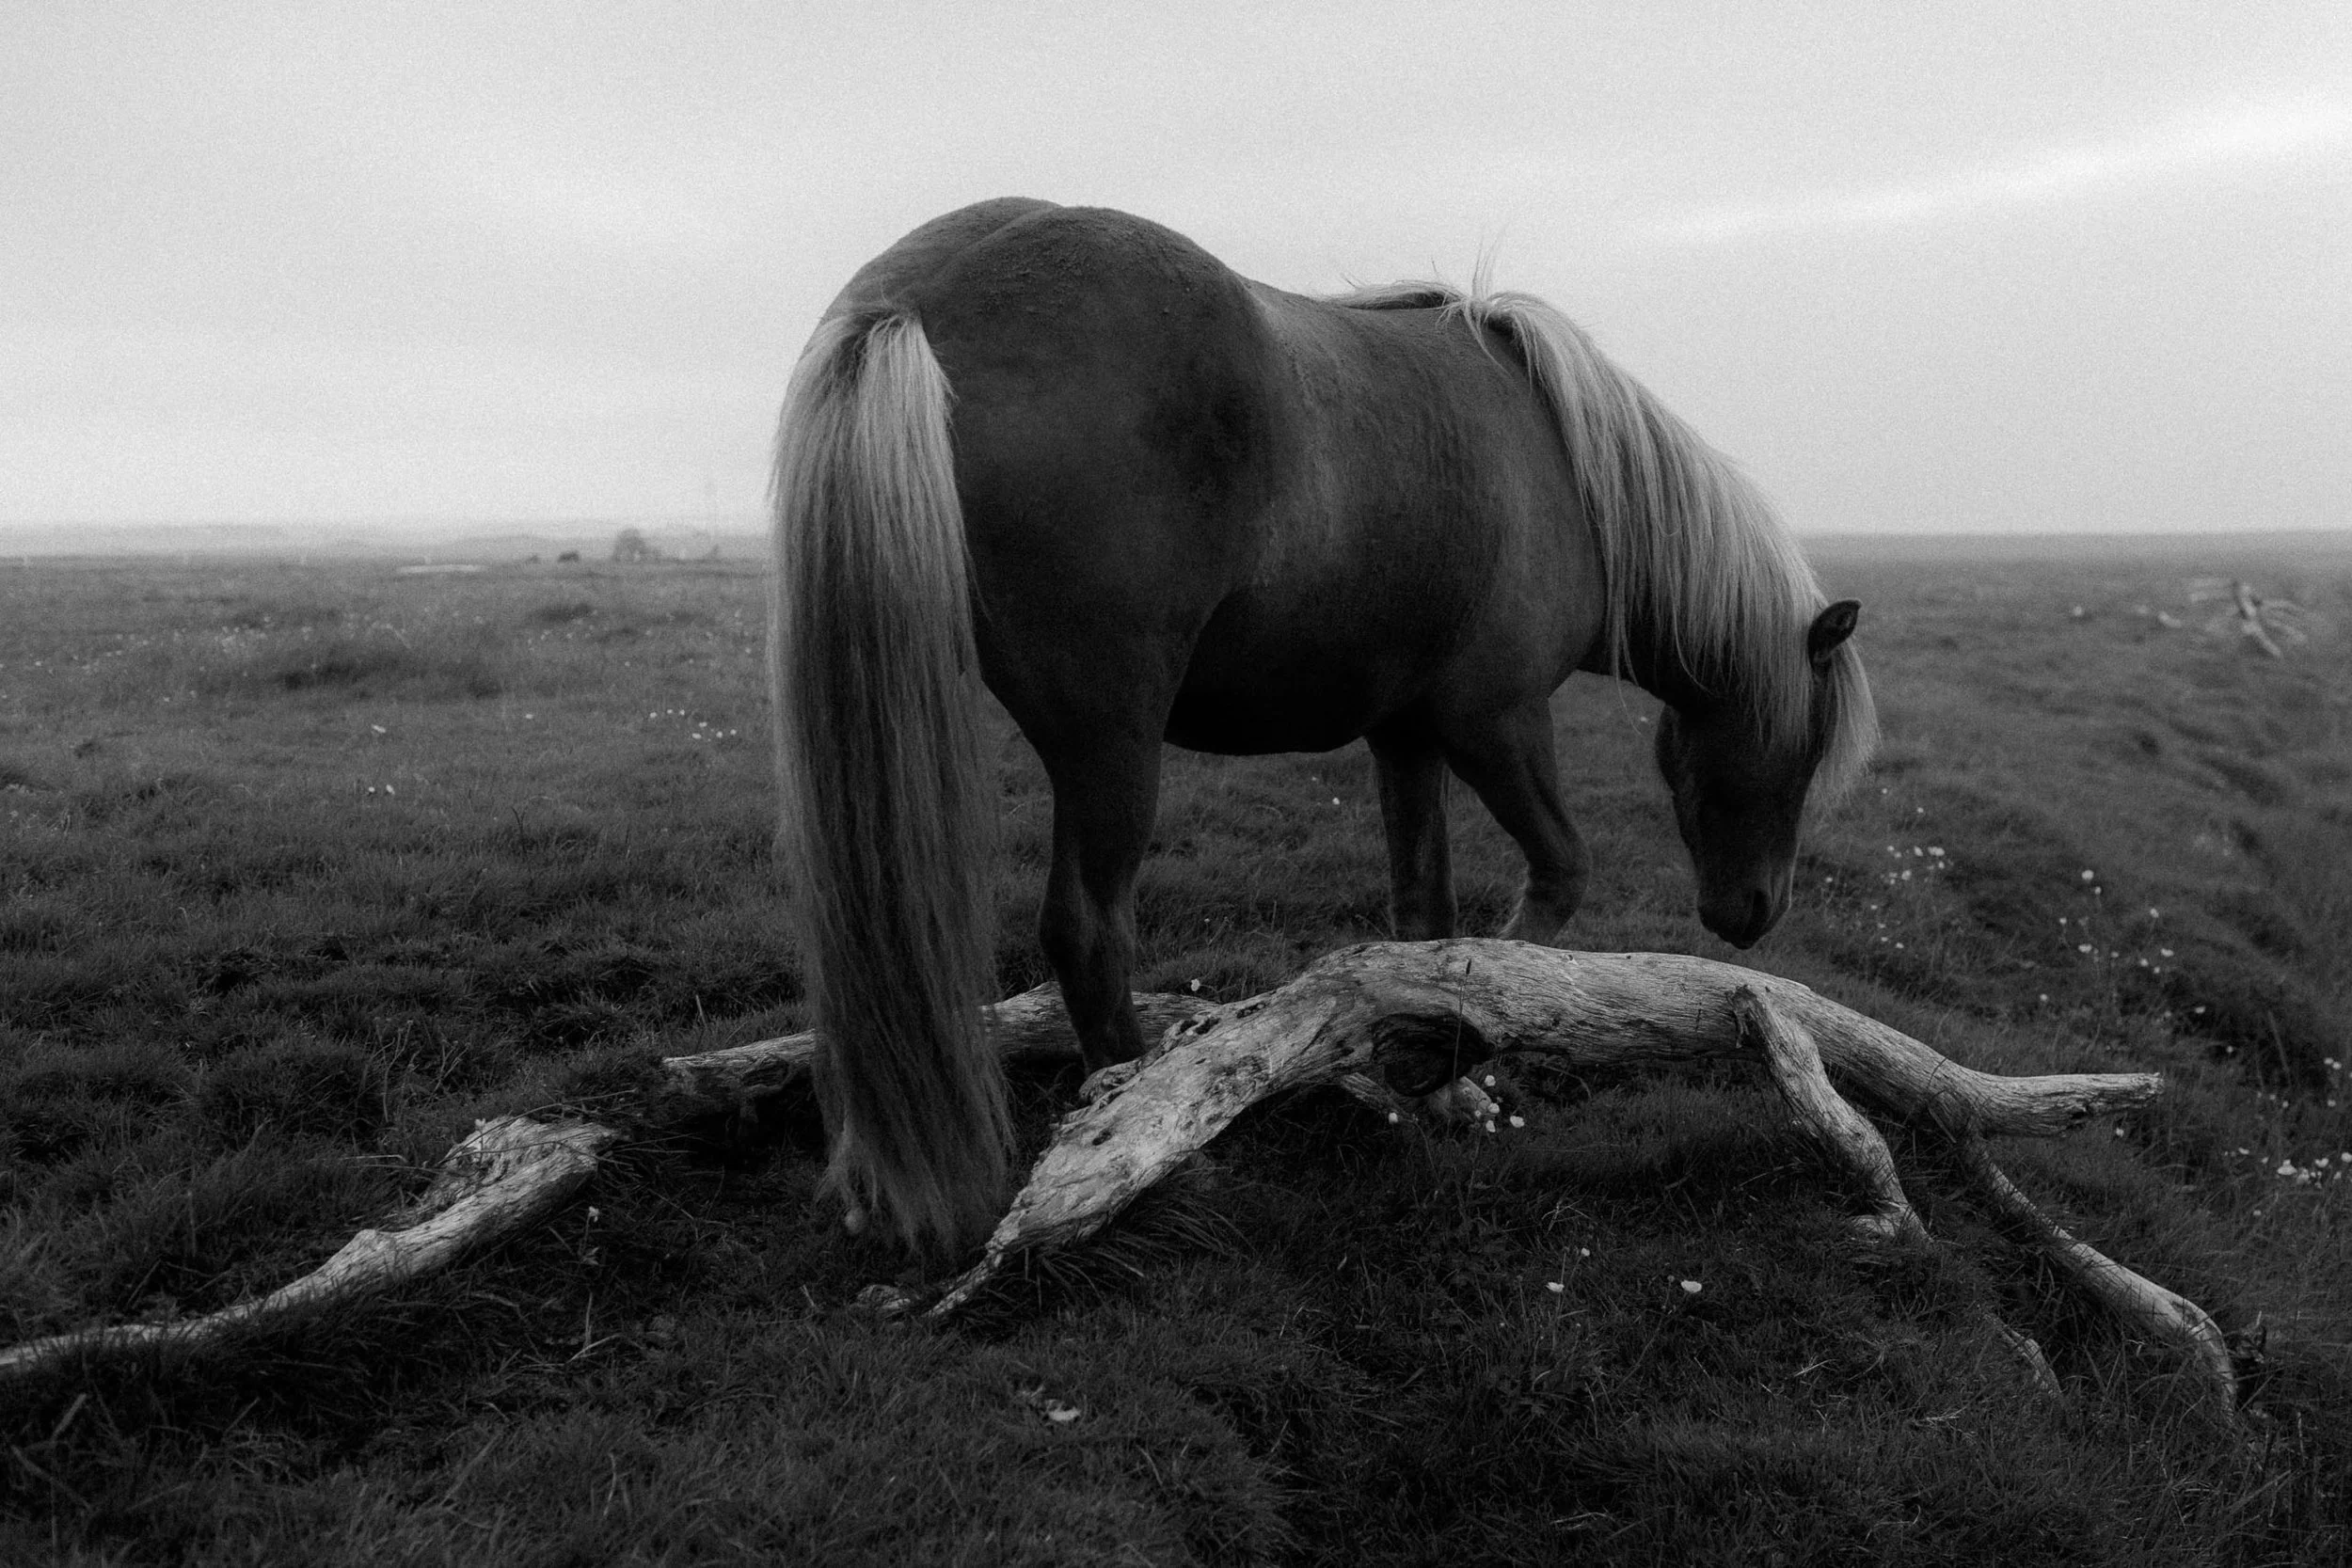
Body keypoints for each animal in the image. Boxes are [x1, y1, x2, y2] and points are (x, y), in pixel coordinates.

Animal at [770, 198, 1877, 1260]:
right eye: (1803, 750)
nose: (1755, 910)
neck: (1569, 471)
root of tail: (916, 300)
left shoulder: (1407, 737)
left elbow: (1426, 916)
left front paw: (1431, 1074)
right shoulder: (1496, 722)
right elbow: (1551, 887)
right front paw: (1444, 1059)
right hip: (1111, 744)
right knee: (1086, 928)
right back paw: (1141, 1145)